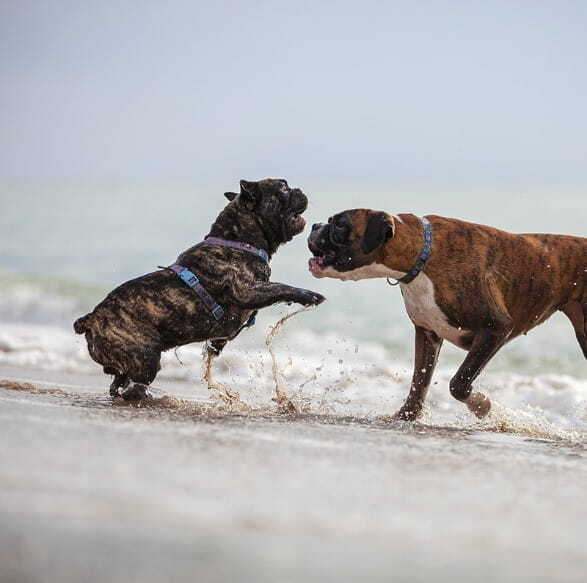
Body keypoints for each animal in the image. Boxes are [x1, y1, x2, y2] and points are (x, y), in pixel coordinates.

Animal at [73, 178, 326, 402]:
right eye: (283, 187)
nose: (299, 190)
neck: (239, 241)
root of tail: (90, 319)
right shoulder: (249, 291)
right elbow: (282, 288)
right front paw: (309, 295)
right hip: (145, 358)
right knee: (135, 384)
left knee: (118, 383)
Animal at [310, 212, 584, 422]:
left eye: (339, 224)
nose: (315, 225)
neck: (421, 254)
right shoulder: (428, 334)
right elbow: (418, 383)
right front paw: (406, 417)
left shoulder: (495, 328)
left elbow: (458, 382)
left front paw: (482, 405)